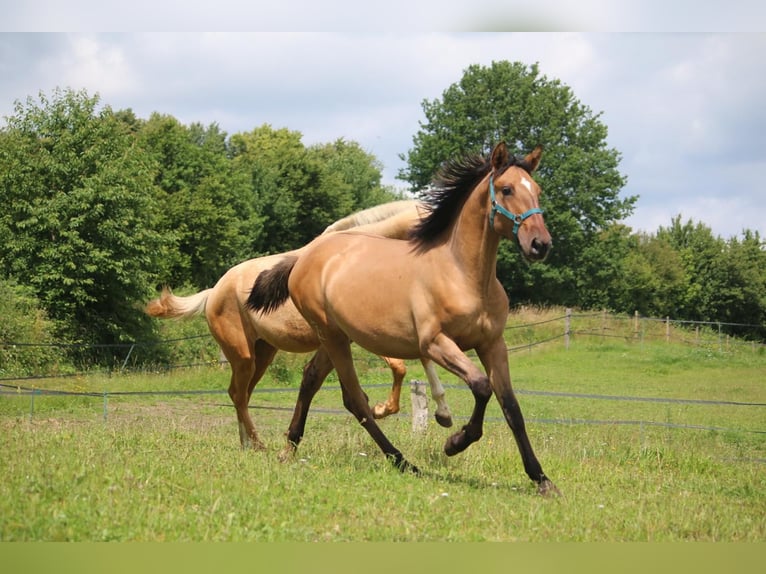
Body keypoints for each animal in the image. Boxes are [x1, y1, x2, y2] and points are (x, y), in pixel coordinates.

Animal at [147, 200, 452, 452]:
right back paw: (257, 444)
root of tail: (213, 292)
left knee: (241, 393)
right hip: (244, 356)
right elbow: (400, 367)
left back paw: (247, 443)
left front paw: (433, 412)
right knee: (238, 394)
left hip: (262, 355)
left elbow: (411, 364)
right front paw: (380, 408)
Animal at [250, 143, 560, 496]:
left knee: (311, 379)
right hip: (332, 336)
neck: (463, 276)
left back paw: (289, 449)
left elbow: (511, 408)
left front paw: (542, 480)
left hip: (336, 337)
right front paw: (454, 442)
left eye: (537, 190)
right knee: (354, 399)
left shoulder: (493, 344)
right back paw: (402, 461)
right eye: (507, 189)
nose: (540, 244)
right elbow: (482, 387)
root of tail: (304, 256)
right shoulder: (434, 343)